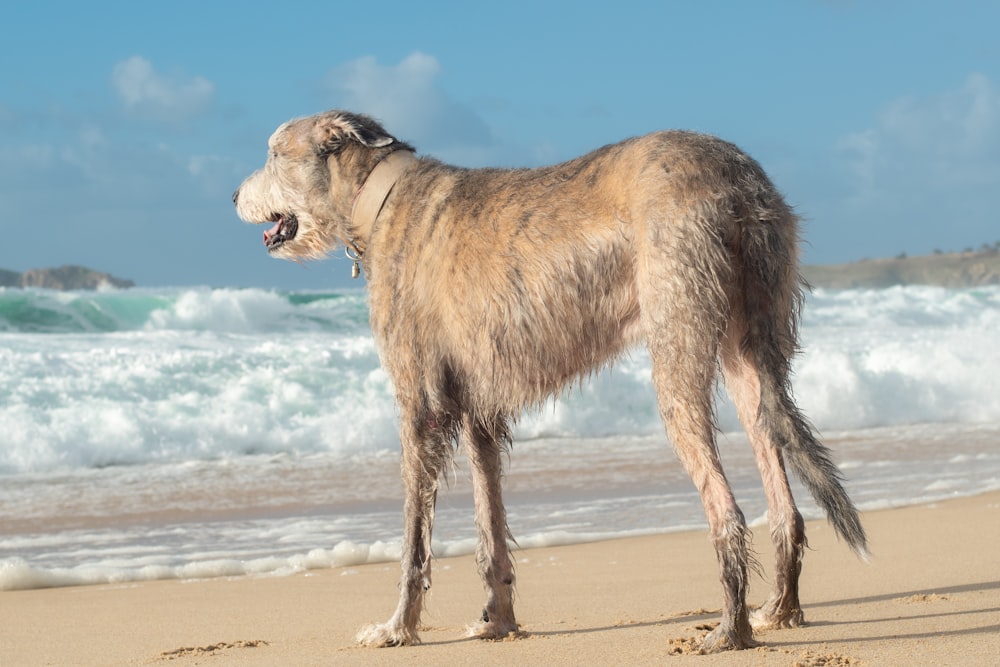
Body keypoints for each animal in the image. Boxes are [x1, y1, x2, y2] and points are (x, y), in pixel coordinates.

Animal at [234, 111, 868, 652]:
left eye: (272, 152)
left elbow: (414, 538)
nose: (234, 197)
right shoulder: (479, 411)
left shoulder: (421, 408)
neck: (380, 199)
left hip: (678, 342)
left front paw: (398, 629)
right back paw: (778, 610)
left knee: (725, 508)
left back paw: (729, 630)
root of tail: (740, 181)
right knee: (780, 483)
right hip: (748, 348)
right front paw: (498, 622)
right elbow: (490, 529)